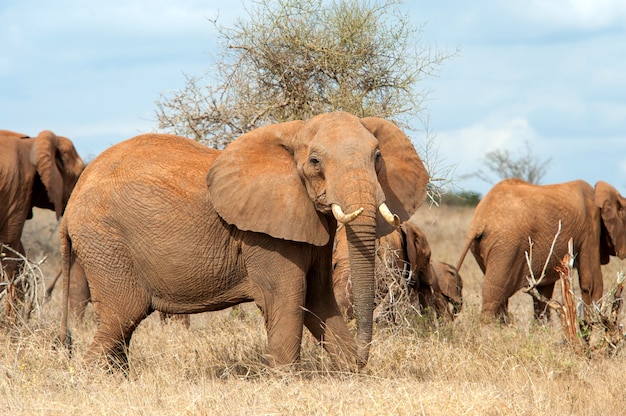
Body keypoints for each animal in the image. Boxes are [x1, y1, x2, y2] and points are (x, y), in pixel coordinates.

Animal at [59, 112, 428, 372]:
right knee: (121, 317)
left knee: (121, 327)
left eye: (377, 157)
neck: (293, 133)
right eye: (315, 162)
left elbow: (319, 300)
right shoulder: (265, 237)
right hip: (105, 241)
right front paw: (286, 381)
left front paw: (350, 371)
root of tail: (71, 202)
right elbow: (288, 298)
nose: (364, 358)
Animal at [454, 178, 624, 322]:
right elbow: (592, 283)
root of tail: (479, 220)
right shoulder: (590, 230)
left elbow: (543, 291)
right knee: (495, 293)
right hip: (505, 246)